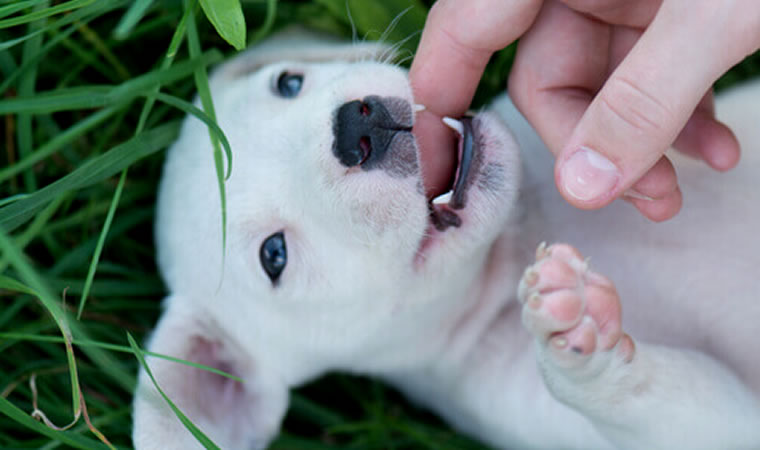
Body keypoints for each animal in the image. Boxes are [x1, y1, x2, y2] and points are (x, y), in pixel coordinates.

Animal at [132, 29, 760, 448]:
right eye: (274, 255)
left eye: (288, 82)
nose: (356, 126)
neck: (513, 246)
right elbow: (673, 400)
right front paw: (580, 338)